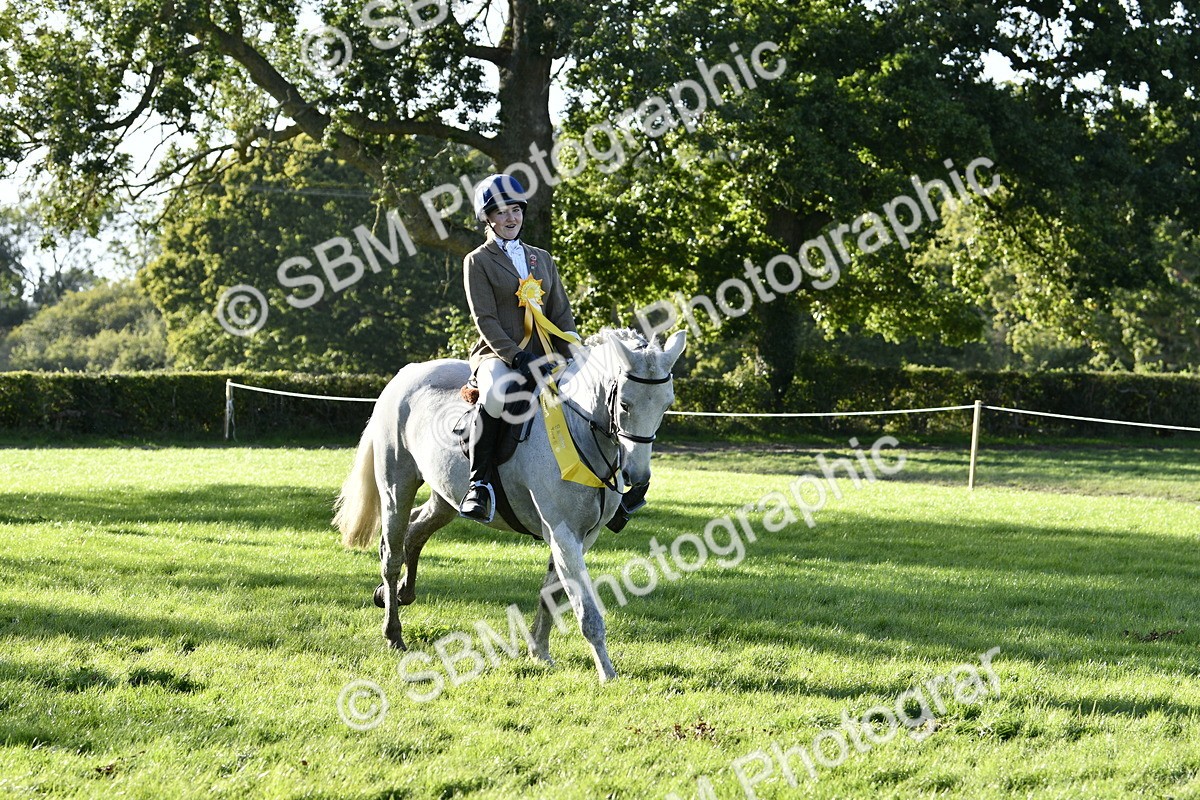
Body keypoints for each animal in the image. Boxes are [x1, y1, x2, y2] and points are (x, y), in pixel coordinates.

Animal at [332, 327, 686, 683]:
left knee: (416, 531)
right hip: (397, 487)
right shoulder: (563, 534)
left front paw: (539, 652)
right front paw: (607, 673)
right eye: (625, 404)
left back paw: (398, 593)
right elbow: (585, 607)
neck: (580, 431)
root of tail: (405, 375)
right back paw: (393, 633)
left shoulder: (584, 536)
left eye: (666, 405)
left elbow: (552, 593)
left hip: (445, 496)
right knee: (391, 554)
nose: (637, 478)